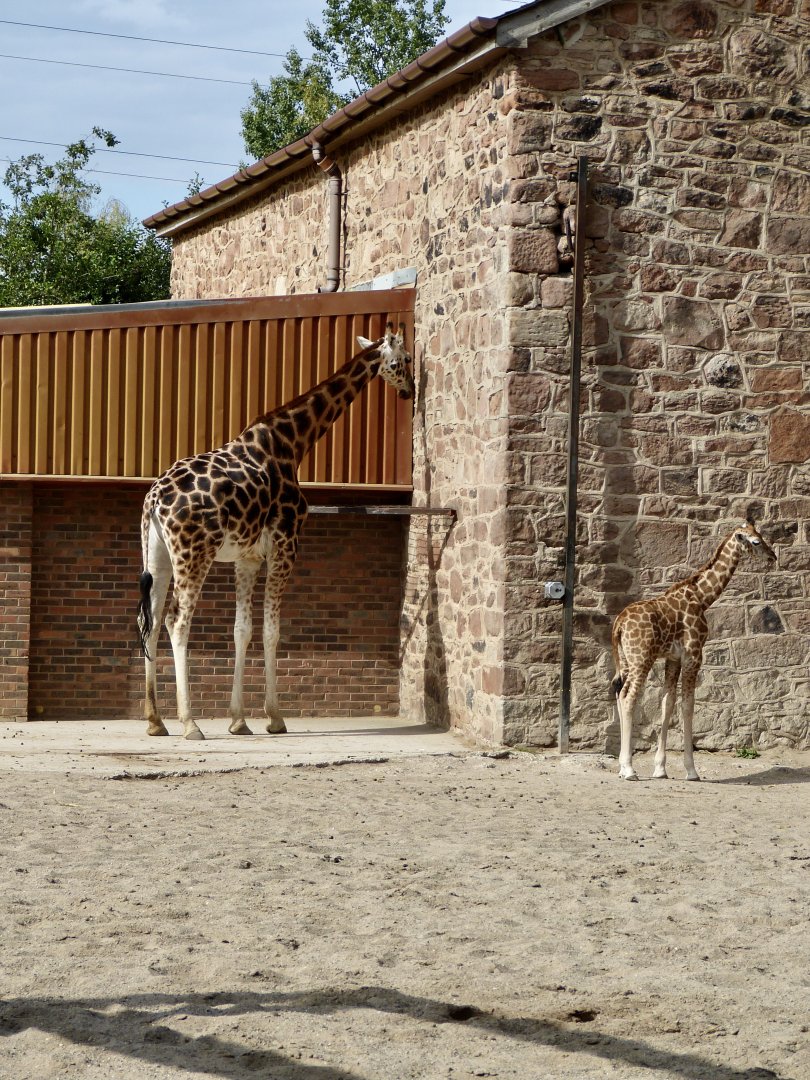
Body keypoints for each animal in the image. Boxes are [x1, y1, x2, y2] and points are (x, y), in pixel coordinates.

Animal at [136, 323, 414, 741]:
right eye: (404, 361)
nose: (410, 390)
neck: (293, 443)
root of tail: (154, 500)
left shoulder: (248, 558)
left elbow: (242, 630)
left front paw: (238, 720)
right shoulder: (287, 543)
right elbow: (272, 630)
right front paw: (275, 717)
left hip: (157, 554)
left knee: (150, 621)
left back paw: (155, 720)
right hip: (194, 553)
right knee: (176, 621)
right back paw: (189, 723)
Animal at [610, 520, 777, 782]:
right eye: (756, 541)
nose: (773, 556)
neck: (702, 597)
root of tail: (619, 624)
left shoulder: (673, 658)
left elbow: (667, 703)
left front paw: (660, 769)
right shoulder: (693, 655)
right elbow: (688, 706)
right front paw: (691, 770)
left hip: (626, 660)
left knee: (618, 692)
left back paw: (621, 766)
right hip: (641, 659)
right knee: (628, 697)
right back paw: (628, 769)